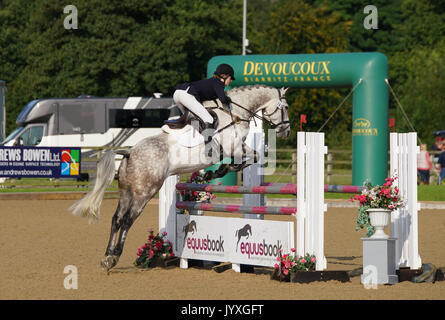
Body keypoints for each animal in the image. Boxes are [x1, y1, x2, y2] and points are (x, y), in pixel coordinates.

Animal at [69, 84, 290, 270]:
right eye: (286, 107)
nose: (285, 130)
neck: (234, 112)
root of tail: (129, 152)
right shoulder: (234, 148)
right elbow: (251, 158)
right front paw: (216, 172)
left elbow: (246, 160)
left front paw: (211, 173)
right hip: (145, 193)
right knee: (127, 221)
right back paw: (115, 256)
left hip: (126, 191)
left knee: (116, 219)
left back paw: (107, 257)